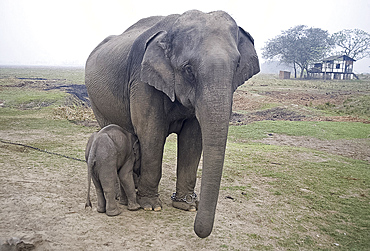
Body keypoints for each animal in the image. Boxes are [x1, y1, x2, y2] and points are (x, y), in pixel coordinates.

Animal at [85, 9, 258, 237]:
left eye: (237, 65)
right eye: (188, 69)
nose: (199, 231)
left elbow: (193, 138)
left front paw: (187, 206)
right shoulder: (141, 80)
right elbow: (152, 132)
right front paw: (151, 206)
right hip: (95, 100)